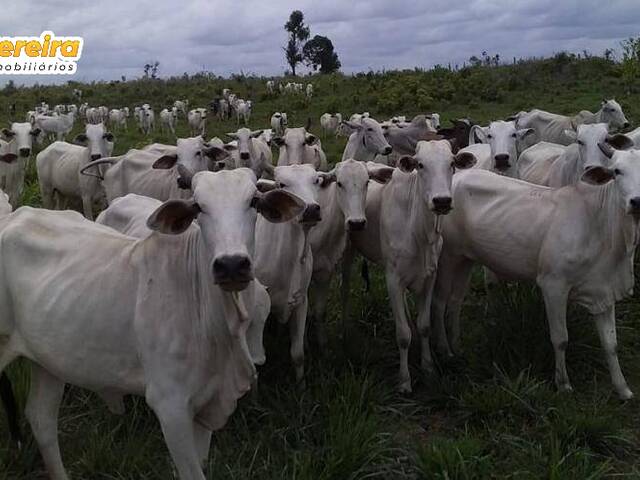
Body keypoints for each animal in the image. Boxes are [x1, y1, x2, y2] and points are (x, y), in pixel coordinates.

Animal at [0, 168, 304, 480]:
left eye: (254, 201)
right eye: (198, 207)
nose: (231, 265)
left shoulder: (205, 406)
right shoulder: (170, 406)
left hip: (48, 361)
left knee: (42, 419)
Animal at [255, 164, 336, 382]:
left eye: (316, 180)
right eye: (282, 184)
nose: (310, 209)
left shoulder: (301, 300)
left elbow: (298, 354)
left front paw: (300, 385)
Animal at [344, 141, 476, 392]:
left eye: (452, 163)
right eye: (420, 165)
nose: (442, 201)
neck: (418, 233)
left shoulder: (429, 276)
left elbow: (424, 325)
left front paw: (428, 368)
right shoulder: (393, 280)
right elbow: (403, 334)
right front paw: (404, 380)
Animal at [430, 147, 640, 402]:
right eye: (617, 171)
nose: (637, 202)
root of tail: (457, 178)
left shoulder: (603, 289)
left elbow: (611, 344)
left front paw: (623, 389)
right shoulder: (553, 285)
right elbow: (560, 339)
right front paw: (563, 385)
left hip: (465, 258)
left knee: (455, 301)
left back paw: (458, 348)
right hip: (447, 255)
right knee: (439, 301)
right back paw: (444, 351)